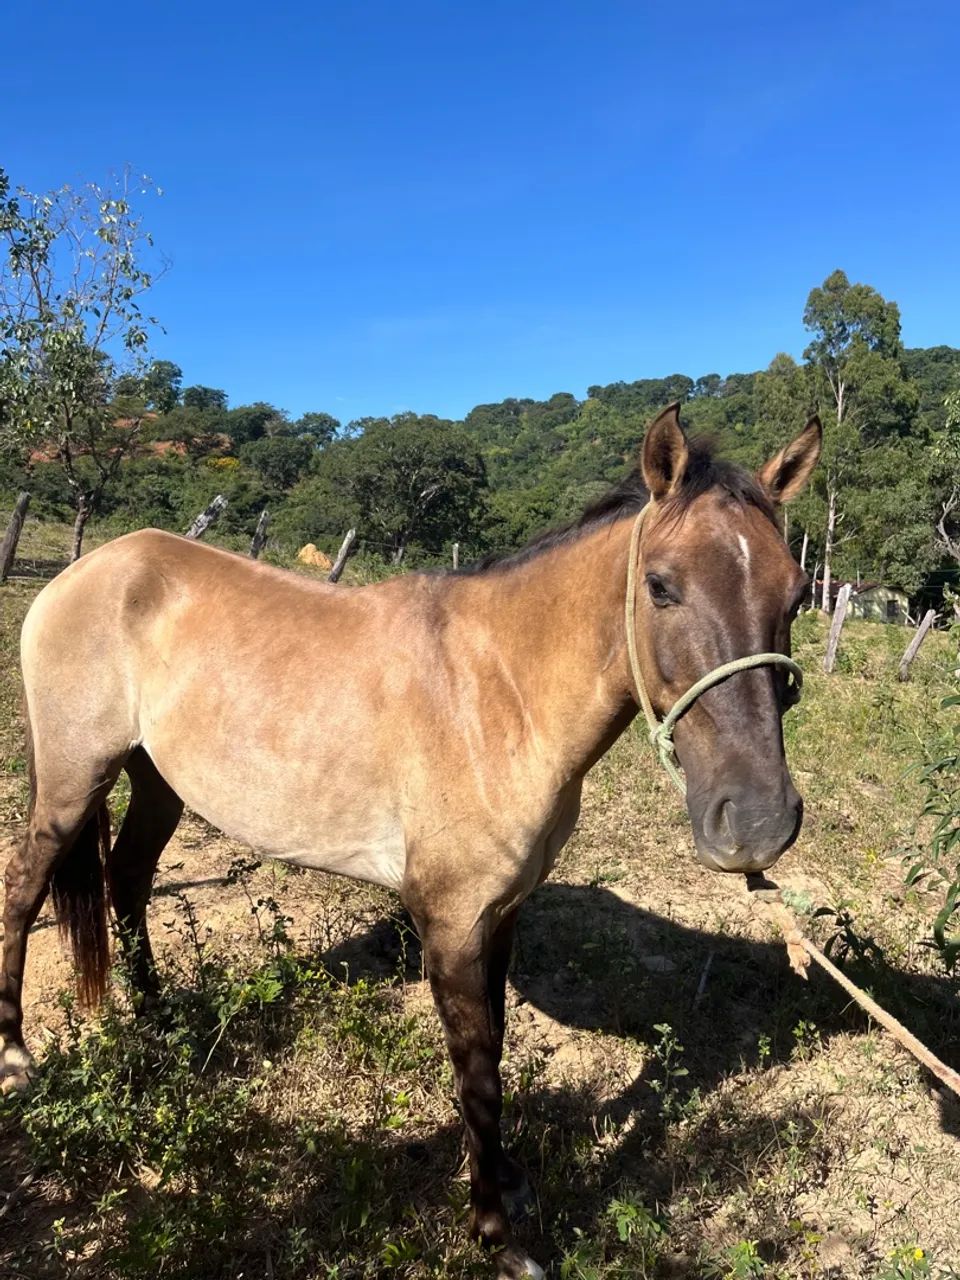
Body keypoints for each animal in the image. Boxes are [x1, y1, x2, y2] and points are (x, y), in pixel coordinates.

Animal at [0, 404, 820, 1278]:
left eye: (797, 592)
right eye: (660, 585)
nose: (759, 821)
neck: (497, 692)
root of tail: (88, 571)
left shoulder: (503, 912)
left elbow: (495, 1040)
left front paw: (507, 1179)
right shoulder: (451, 921)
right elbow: (477, 1068)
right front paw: (498, 1235)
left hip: (157, 782)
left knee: (127, 879)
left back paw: (162, 1028)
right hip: (74, 778)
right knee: (24, 885)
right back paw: (16, 1059)